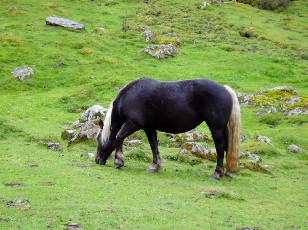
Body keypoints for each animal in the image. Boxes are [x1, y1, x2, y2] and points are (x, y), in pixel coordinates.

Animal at [95, 77, 241, 180]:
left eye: (98, 139)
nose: (97, 160)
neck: (128, 96)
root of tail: (225, 89)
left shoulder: (134, 123)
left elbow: (119, 137)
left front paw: (118, 161)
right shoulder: (149, 127)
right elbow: (153, 145)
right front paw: (155, 166)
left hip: (216, 127)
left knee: (220, 147)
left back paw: (217, 173)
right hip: (222, 128)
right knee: (227, 146)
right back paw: (226, 172)